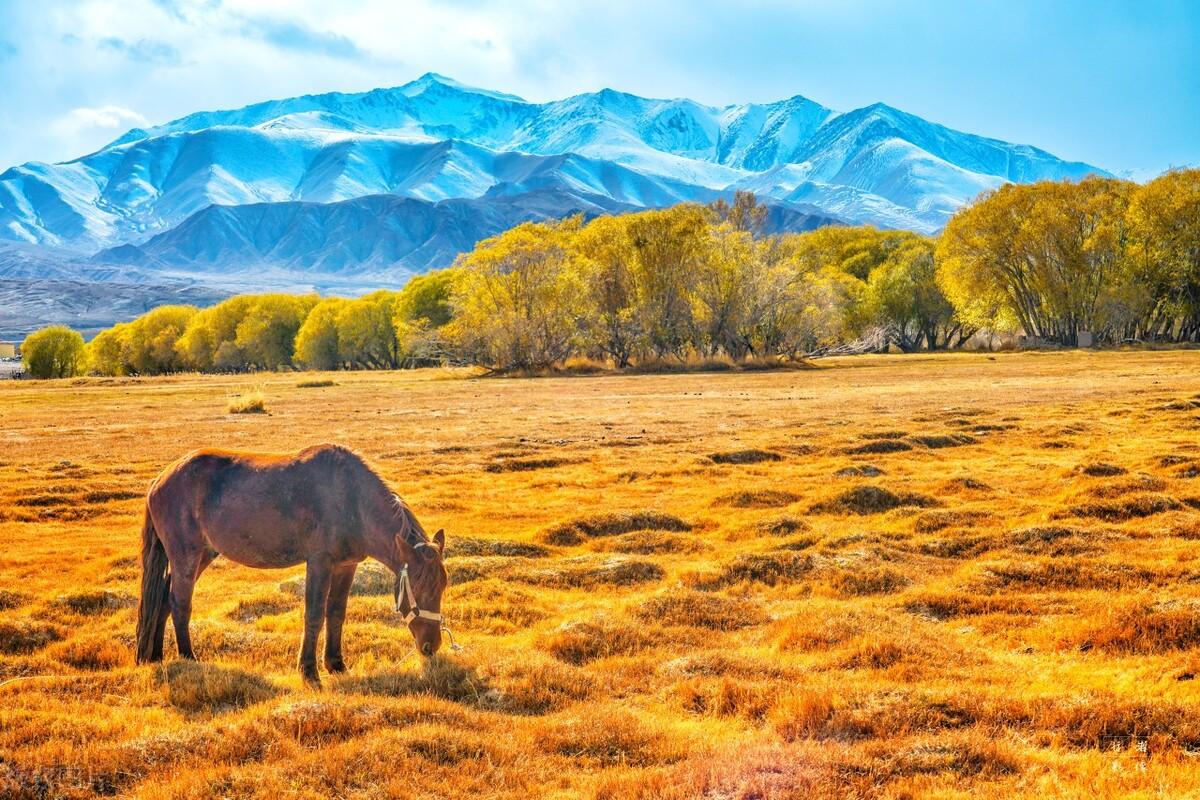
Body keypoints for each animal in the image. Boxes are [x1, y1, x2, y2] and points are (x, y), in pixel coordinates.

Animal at [132, 441, 451, 686]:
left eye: (442, 588)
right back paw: (189, 658)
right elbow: (314, 615)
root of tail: (160, 479)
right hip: (186, 556)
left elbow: (336, 614)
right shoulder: (320, 562)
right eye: (417, 589)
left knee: (163, 600)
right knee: (179, 604)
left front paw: (336, 664)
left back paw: (155, 656)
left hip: (202, 556)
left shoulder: (345, 566)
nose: (431, 646)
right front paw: (309, 672)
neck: (352, 500)